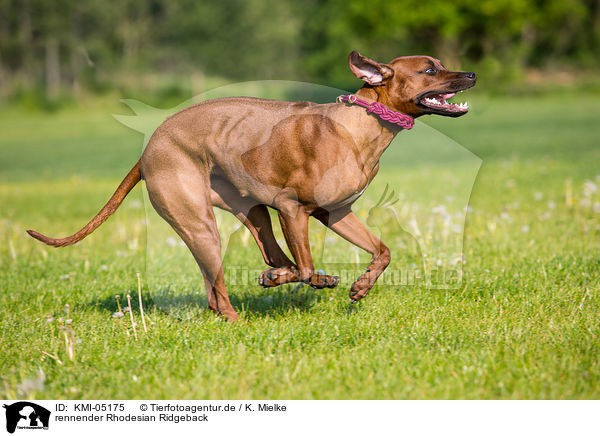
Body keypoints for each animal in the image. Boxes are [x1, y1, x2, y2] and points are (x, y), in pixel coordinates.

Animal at [28, 52, 476, 322]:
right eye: (430, 69)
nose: (471, 73)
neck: (362, 127)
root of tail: (149, 148)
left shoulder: (336, 213)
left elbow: (383, 251)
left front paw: (361, 286)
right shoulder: (292, 207)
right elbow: (308, 267)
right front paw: (320, 281)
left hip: (252, 212)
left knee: (266, 260)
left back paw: (273, 278)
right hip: (201, 226)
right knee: (222, 293)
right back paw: (241, 317)